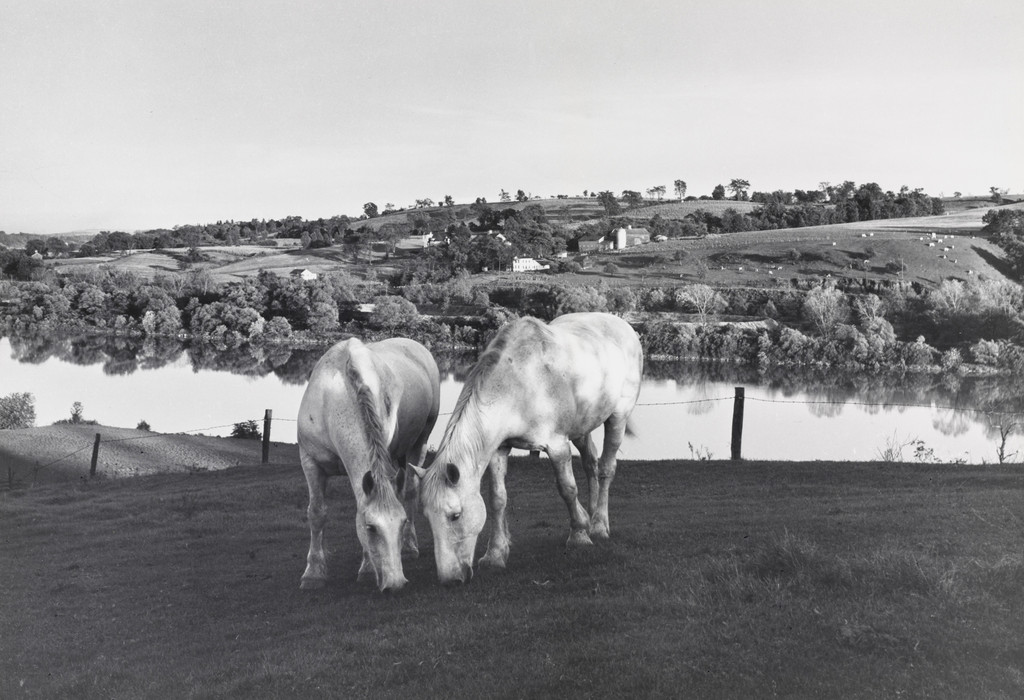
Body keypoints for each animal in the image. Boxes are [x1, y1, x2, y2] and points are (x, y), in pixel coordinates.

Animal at [298, 337, 440, 592]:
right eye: (370, 527)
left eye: (401, 523)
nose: (396, 583)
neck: (333, 395)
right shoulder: (310, 461)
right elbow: (316, 513)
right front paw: (313, 574)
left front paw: (365, 569)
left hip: (420, 442)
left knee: (410, 491)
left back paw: (409, 547)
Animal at [415, 312, 643, 584]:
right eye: (427, 517)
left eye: (455, 516)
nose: (450, 579)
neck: (520, 383)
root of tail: (624, 325)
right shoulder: (499, 449)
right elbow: (497, 499)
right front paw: (495, 554)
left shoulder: (557, 446)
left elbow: (567, 489)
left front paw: (579, 534)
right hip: (582, 427)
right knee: (591, 464)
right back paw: (592, 514)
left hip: (617, 417)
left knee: (606, 468)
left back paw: (598, 525)